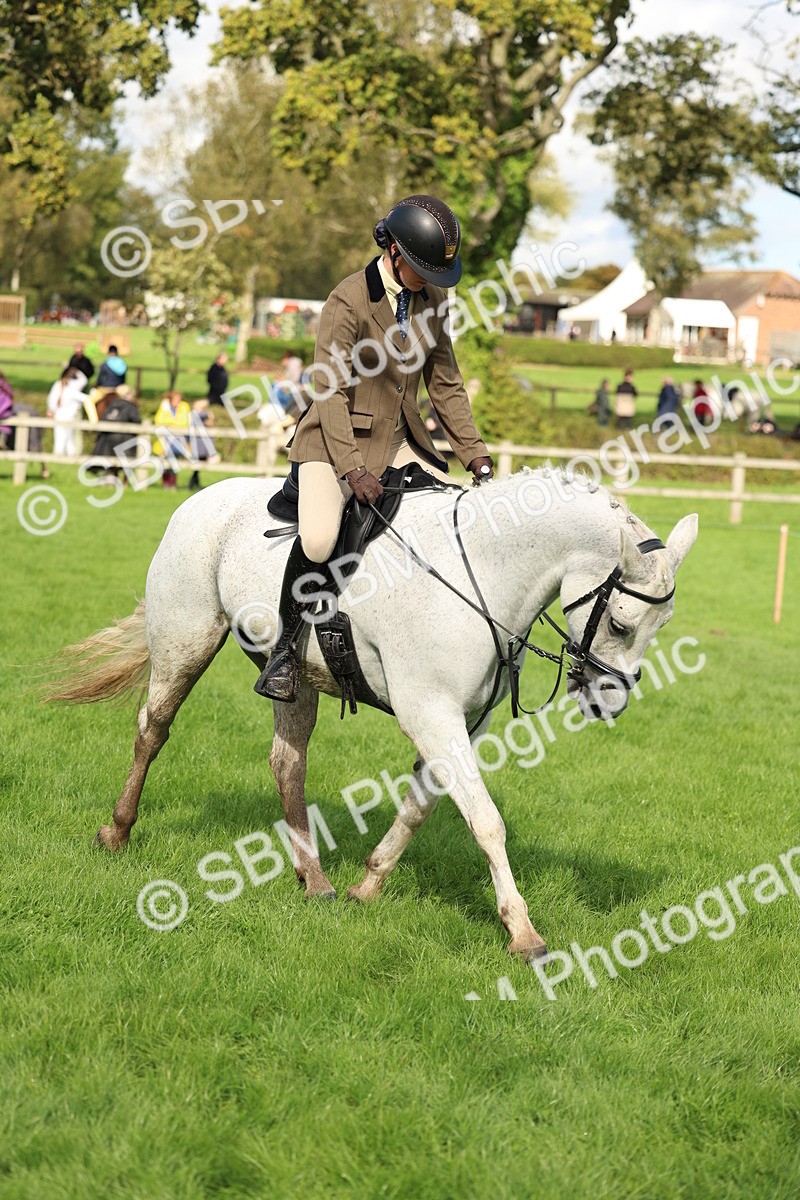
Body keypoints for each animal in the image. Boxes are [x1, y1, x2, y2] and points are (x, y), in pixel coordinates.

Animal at [47, 468, 697, 961]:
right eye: (621, 624)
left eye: (661, 626)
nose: (609, 700)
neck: (484, 572)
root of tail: (201, 499)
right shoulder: (432, 714)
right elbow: (485, 820)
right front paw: (522, 931)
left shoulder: (463, 723)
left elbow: (419, 807)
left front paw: (369, 883)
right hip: (187, 641)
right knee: (152, 731)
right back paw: (118, 830)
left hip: (293, 677)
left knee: (287, 763)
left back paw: (315, 880)